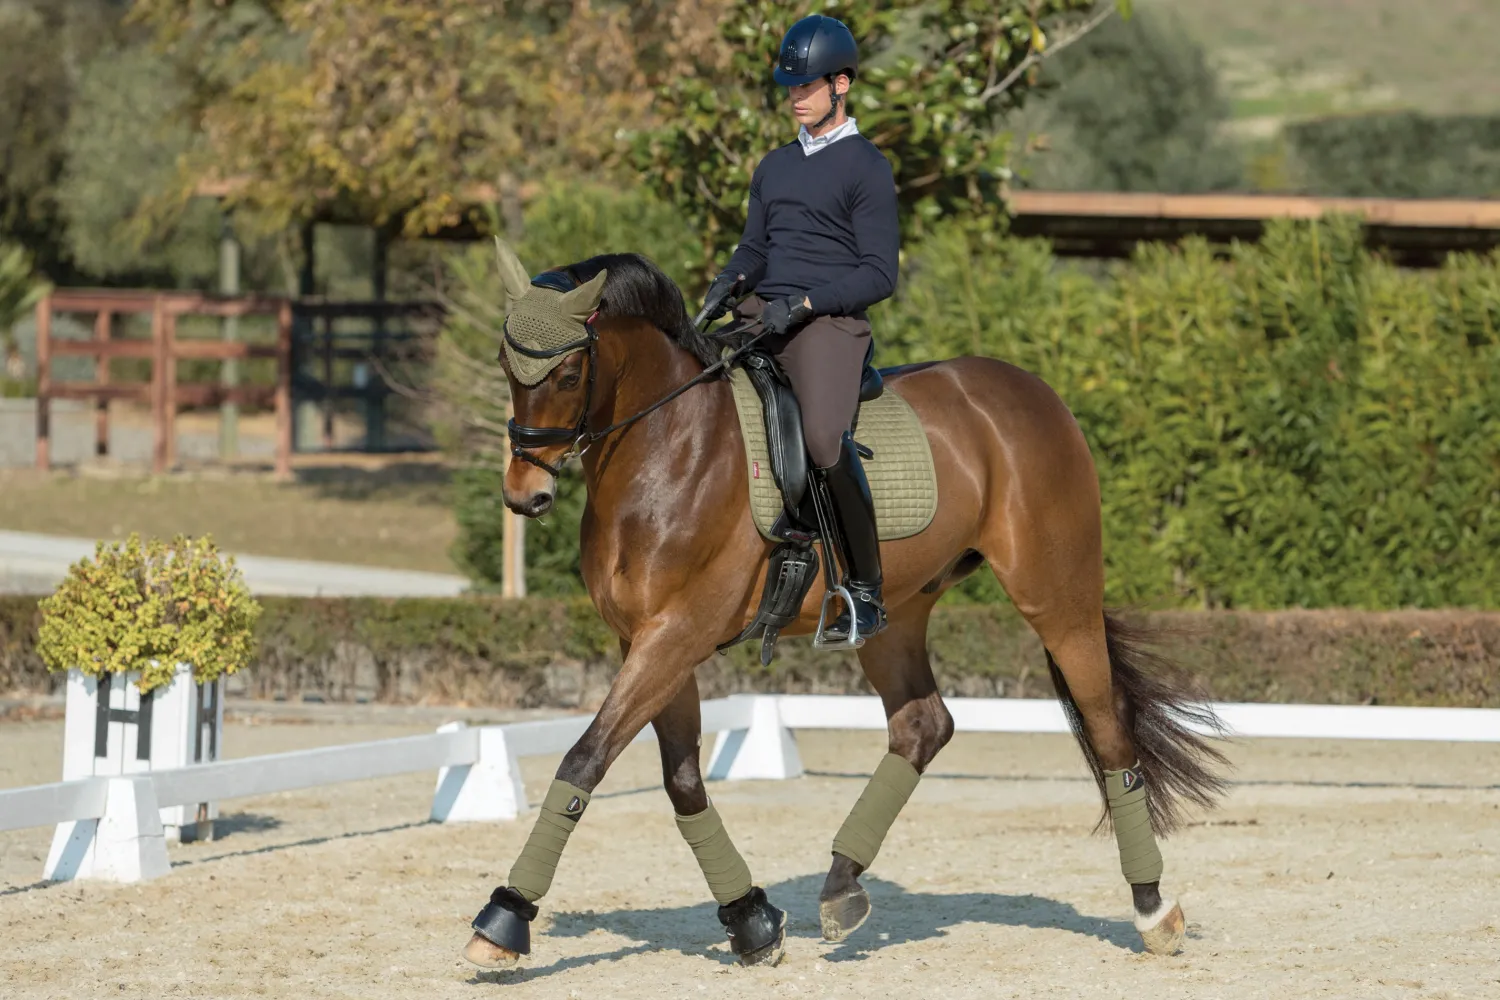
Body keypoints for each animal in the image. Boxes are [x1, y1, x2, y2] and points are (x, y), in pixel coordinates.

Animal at [461, 241, 1229, 970]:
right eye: (505, 364)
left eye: (567, 374)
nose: (525, 496)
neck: (666, 448)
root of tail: (1034, 391)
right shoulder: (646, 640)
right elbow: (681, 781)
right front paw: (752, 922)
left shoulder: (676, 634)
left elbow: (584, 759)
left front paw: (504, 919)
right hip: (897, 615)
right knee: (923, 725)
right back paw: (841, 885)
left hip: (1057, 598)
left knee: (1107, 731)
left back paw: (1153, 909)